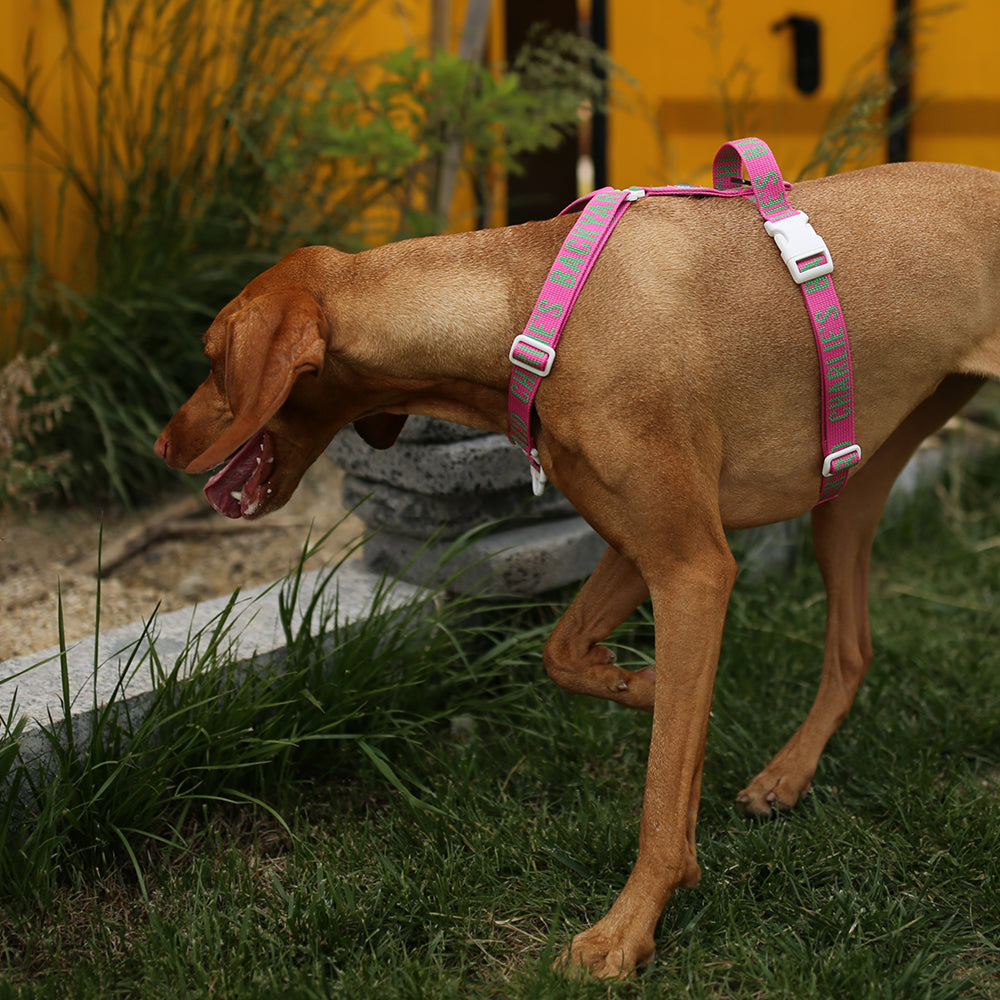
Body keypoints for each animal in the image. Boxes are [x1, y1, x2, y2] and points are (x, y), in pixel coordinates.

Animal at [154, 160, 1000, 980]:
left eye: (211, 360)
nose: (162, 445)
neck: (529, 304)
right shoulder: (647, 547)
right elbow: (565, 655)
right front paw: (645, 686)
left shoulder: (694, 569)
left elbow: (659, 790)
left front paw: (625, 931)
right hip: (848, 495)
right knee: (853, 650)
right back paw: (785, 775)